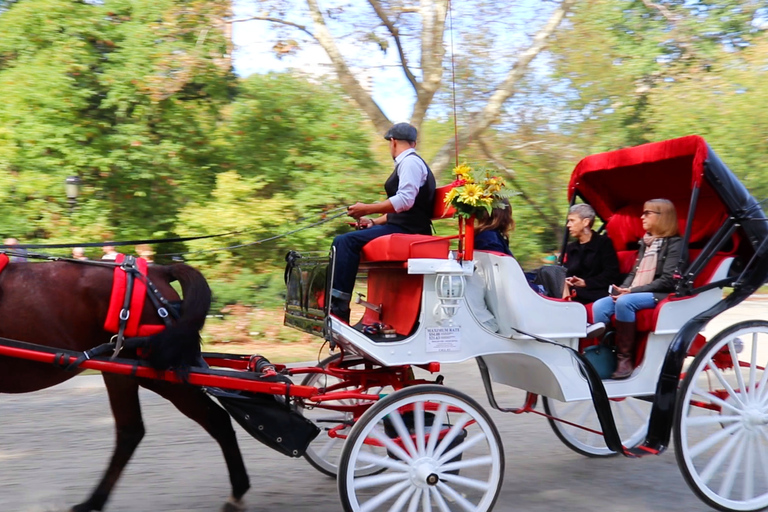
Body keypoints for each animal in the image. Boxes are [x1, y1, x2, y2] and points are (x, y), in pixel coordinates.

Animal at [0, 260, 250, 512]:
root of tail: (157, 271)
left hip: (160, 375)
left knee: (215, 419)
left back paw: (237, 493)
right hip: (121, 371)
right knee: (131, 431)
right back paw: (94, 501)